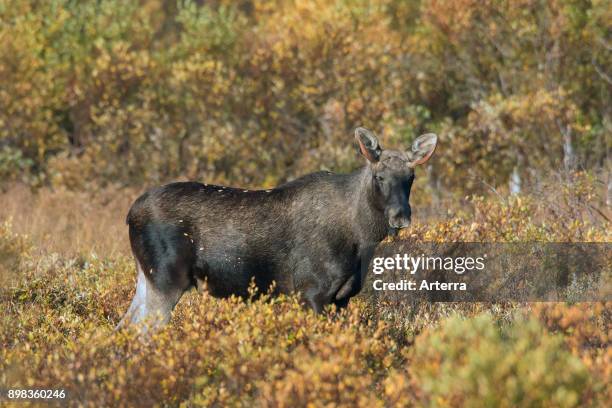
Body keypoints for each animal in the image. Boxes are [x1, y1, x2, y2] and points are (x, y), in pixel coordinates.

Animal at [117, 128, 438, 332]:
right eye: (379, 176)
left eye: (411, 176)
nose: (400, 216)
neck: (362, 239)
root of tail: (130, 214)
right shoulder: (311, 292)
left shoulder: (341, 298)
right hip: (166, 280)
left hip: (146, 278)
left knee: (123, 328)